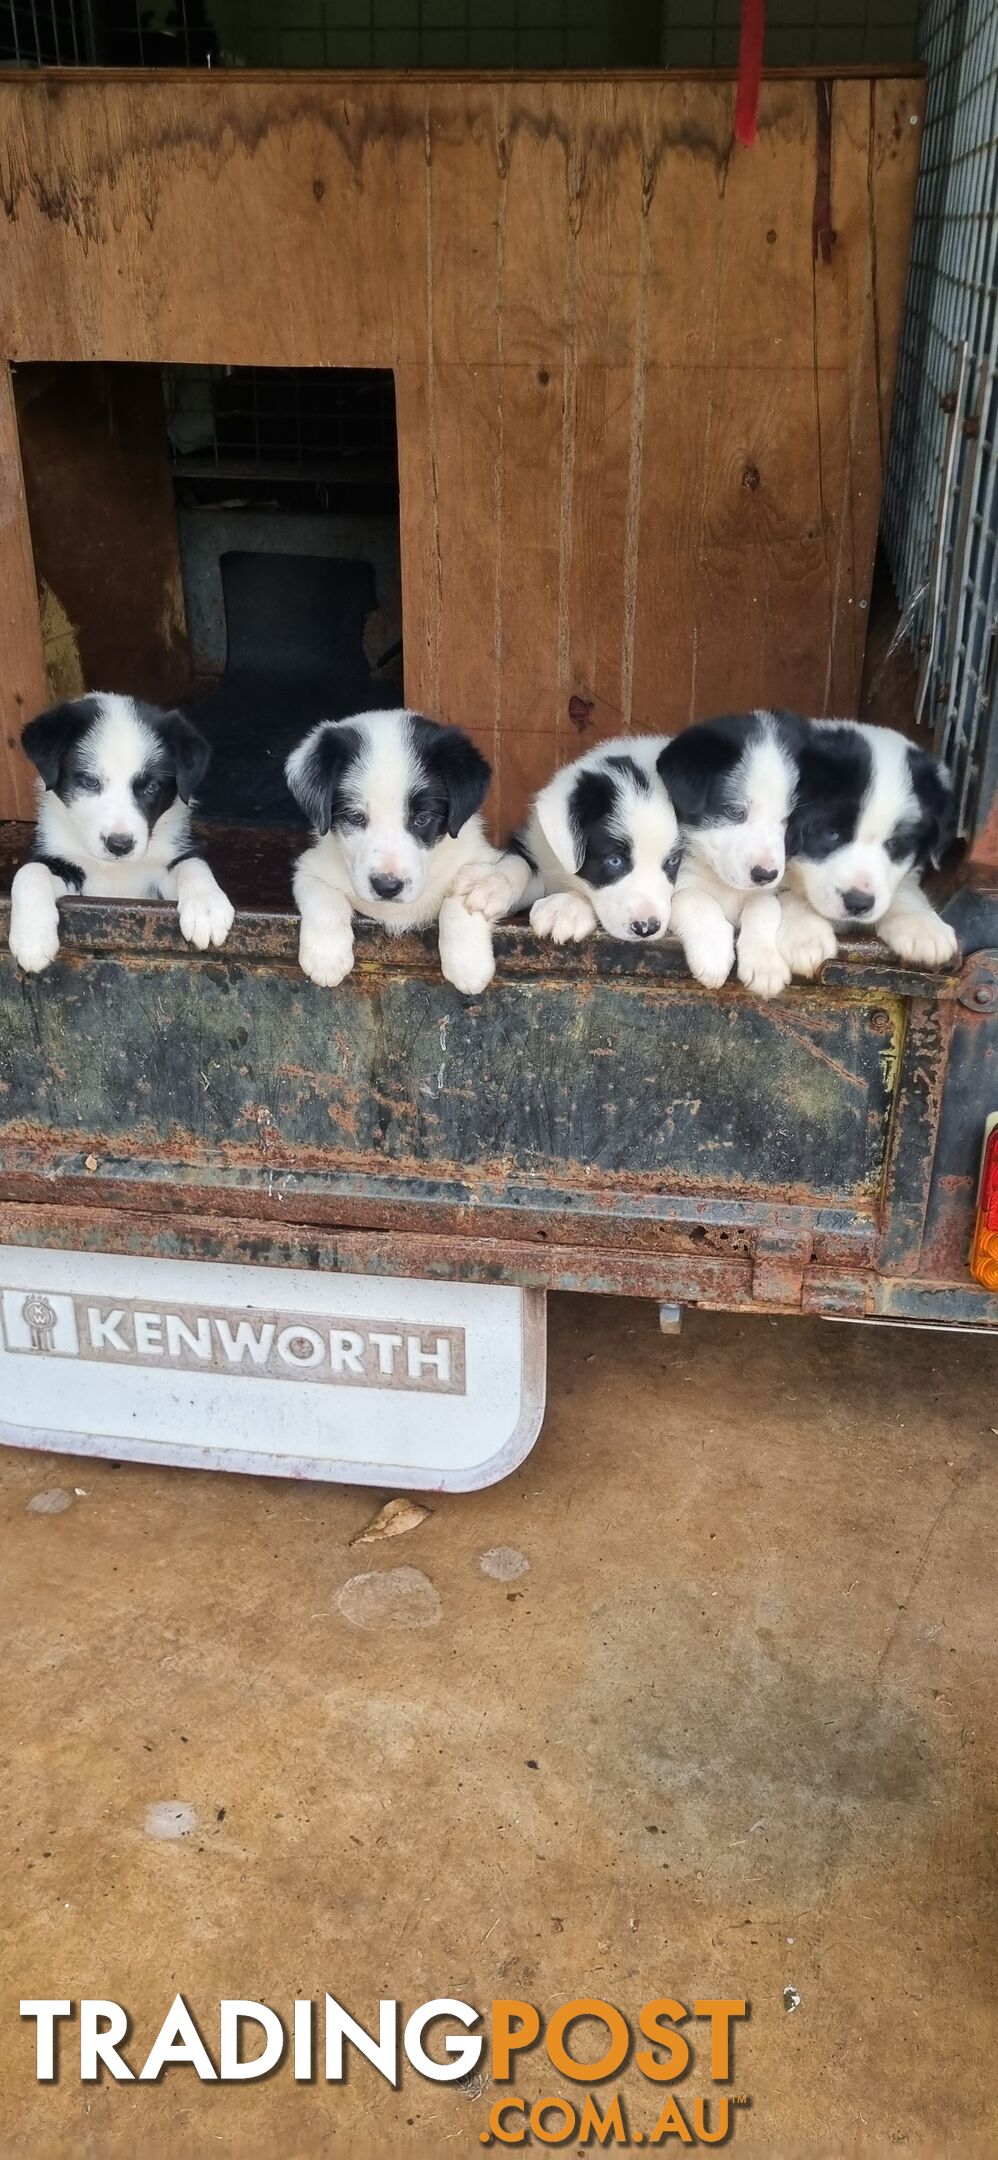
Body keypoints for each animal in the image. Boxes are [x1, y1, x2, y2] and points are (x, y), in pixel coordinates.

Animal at [7, 686, 235, 976]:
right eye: (89, 781)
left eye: (151, 787)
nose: (119, 845)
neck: (115, 870)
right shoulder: (66, 866)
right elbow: (29, 871)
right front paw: (32, 938)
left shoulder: (158, 879)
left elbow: (192, 864)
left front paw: (206, 908)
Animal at [285, 708, 503, 993]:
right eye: (355, 816)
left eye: (422, 818)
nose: (387, 887)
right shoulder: (311, 864)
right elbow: (322, 897)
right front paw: (326, 958)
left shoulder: (484, 861)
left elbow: (462, 898)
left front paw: (468, 965)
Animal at [656, 717, 807, 1002]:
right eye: (735, 811)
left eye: (786, 819)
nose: (765, 875)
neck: (724, 883)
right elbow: (695, 899)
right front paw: (712, 952)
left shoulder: (768, 890)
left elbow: (763, 905)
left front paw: (765, 965)